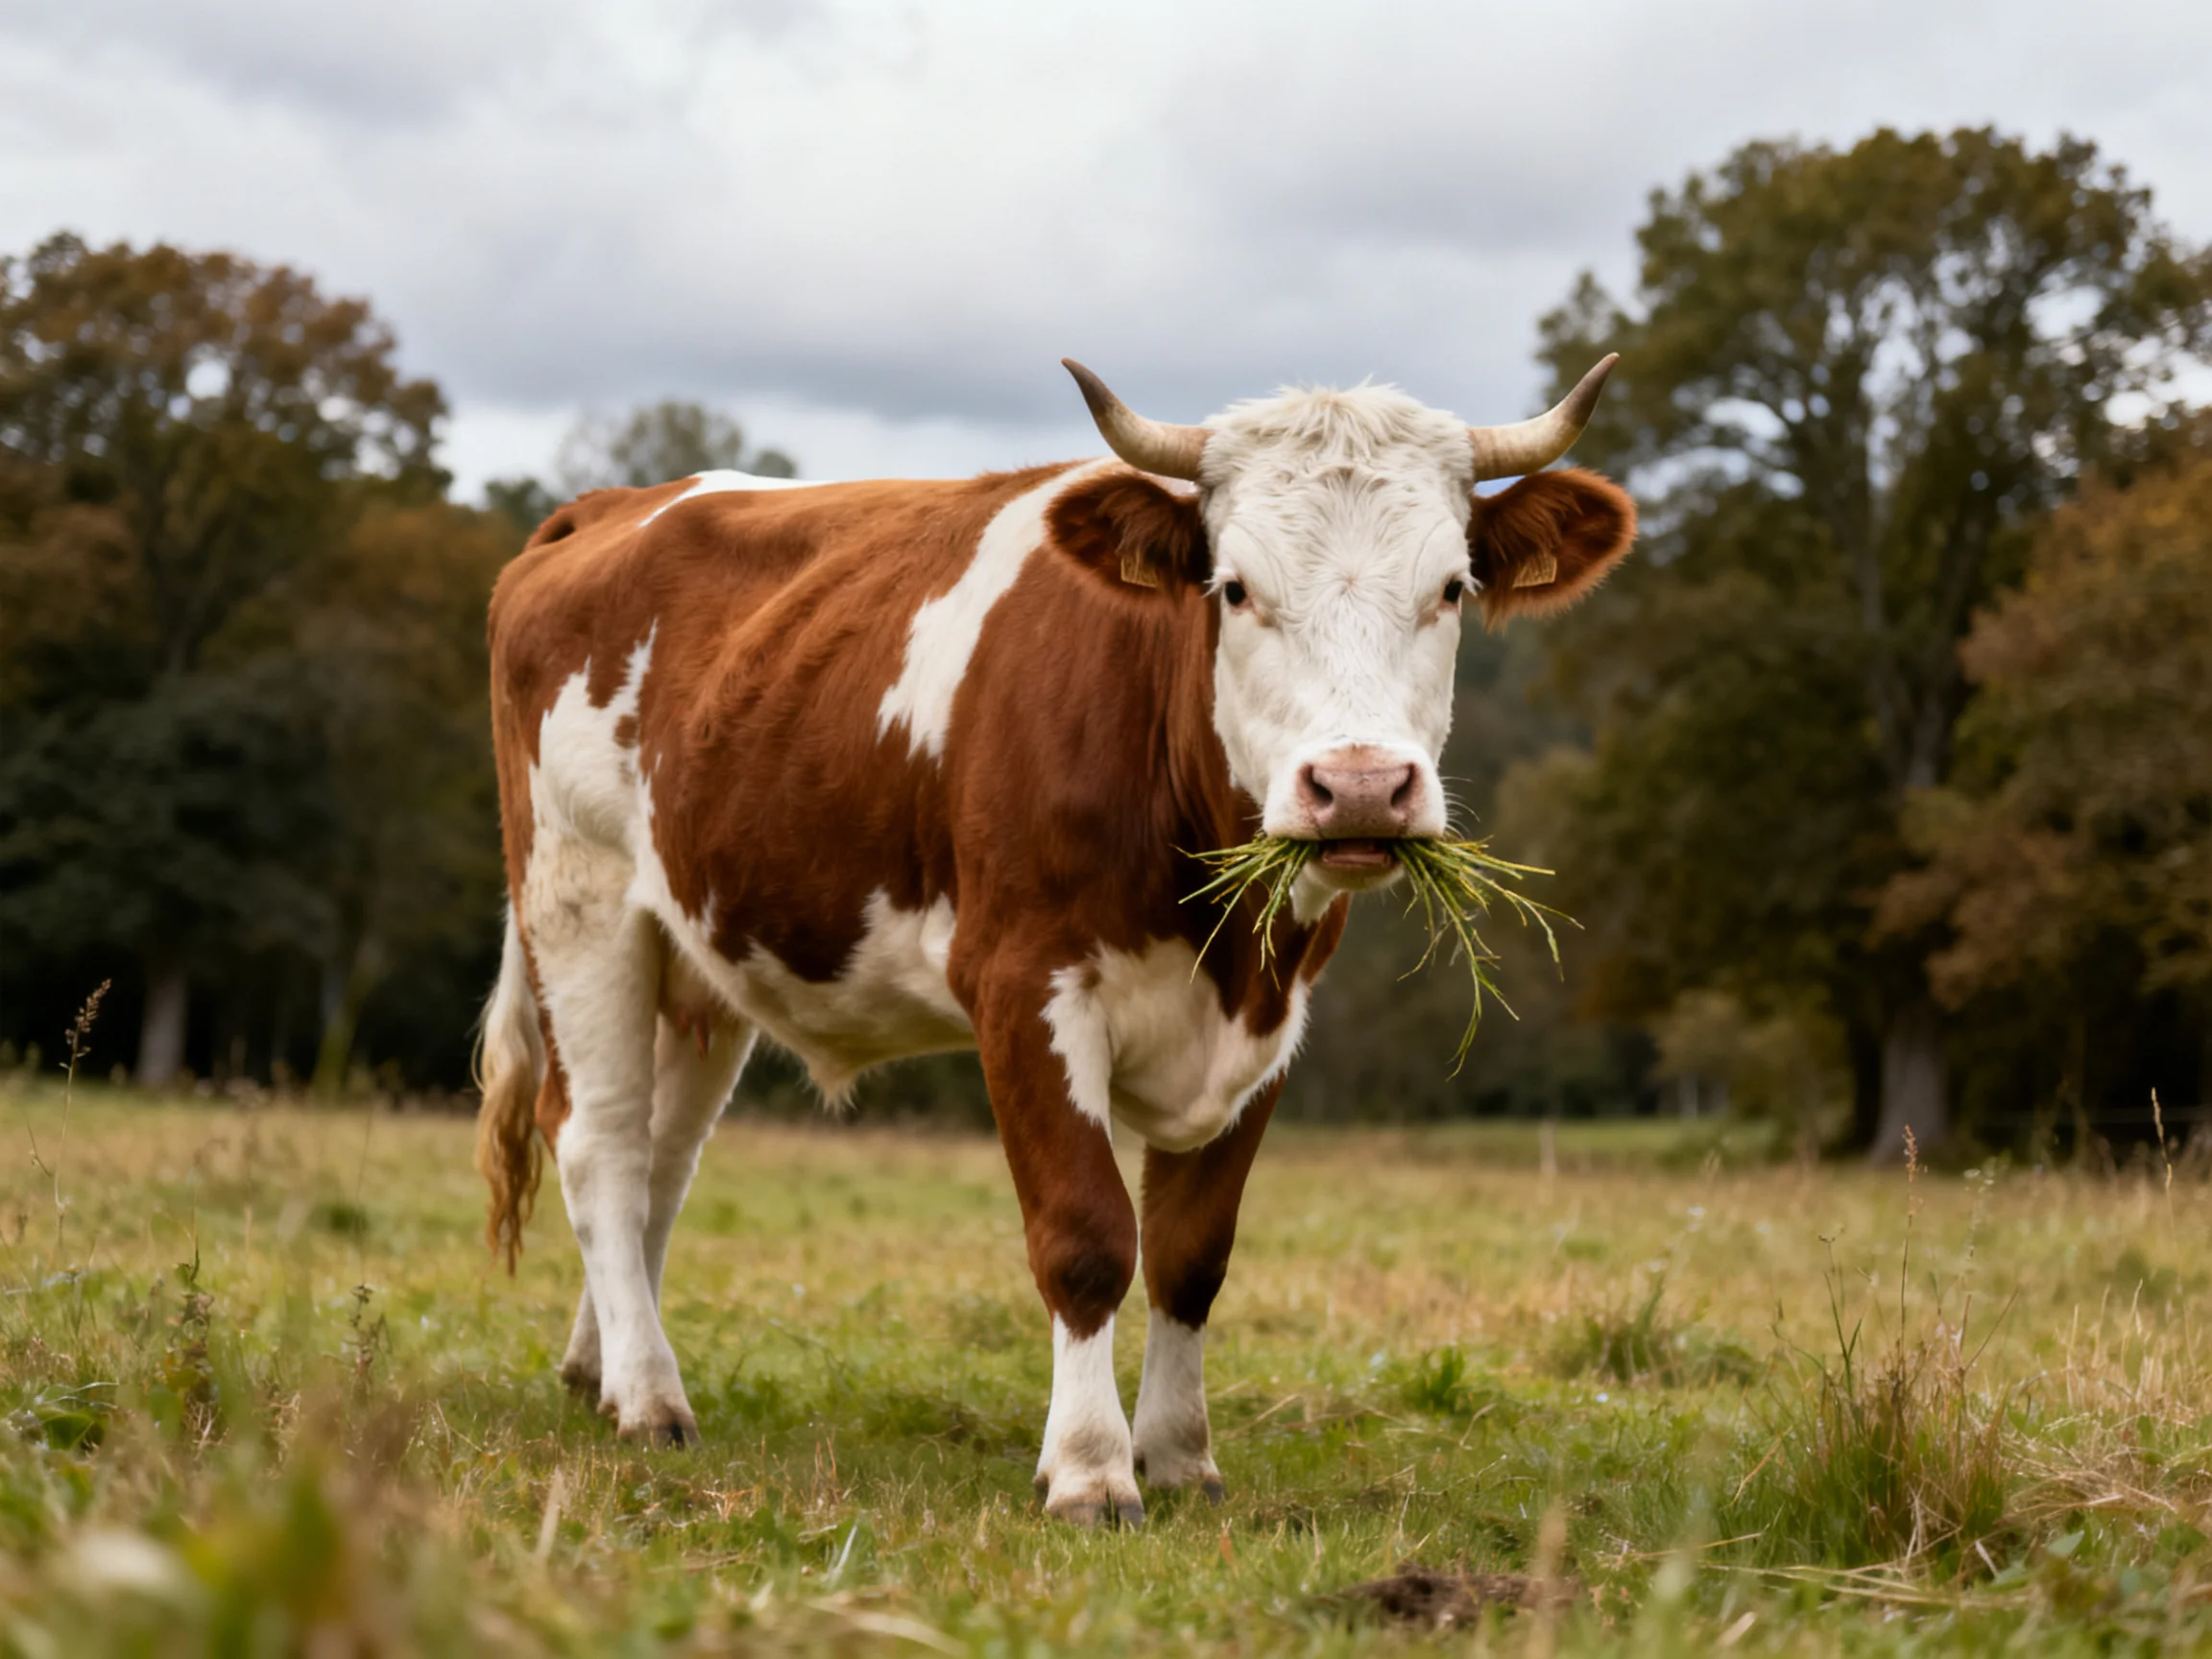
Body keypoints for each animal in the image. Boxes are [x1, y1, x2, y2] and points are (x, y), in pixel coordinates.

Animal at [474, 357, 1635, 1526]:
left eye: (1451, 589)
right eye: (1235, 589)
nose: (1358, 787)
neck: (1209, 928)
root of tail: (609, 507)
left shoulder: (1271, 1017)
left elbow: (1191, 1254)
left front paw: (1180, 1456)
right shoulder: (1024, 985)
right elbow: (1085, 1238)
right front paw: (1089, 1468)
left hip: (698, 955)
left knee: (664, 1159)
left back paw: (599, 1368)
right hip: (579, 903)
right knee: (601, 1145)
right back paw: (649, 1397)